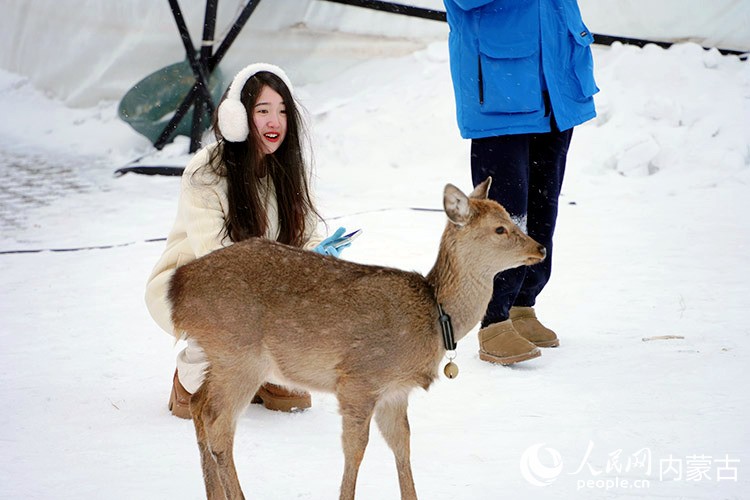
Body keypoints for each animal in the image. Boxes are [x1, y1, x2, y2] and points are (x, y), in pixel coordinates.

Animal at [169, 178, 548, 498]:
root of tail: (177, 288)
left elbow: (402, 444)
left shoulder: (396, 391)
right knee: (218, 425)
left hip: (220, 355)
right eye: (500, 228)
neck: (435, 318)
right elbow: (356, 448)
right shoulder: (359, 379)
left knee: (199, 405)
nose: (541, 248)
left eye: (510, 217)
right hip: (239, 352)